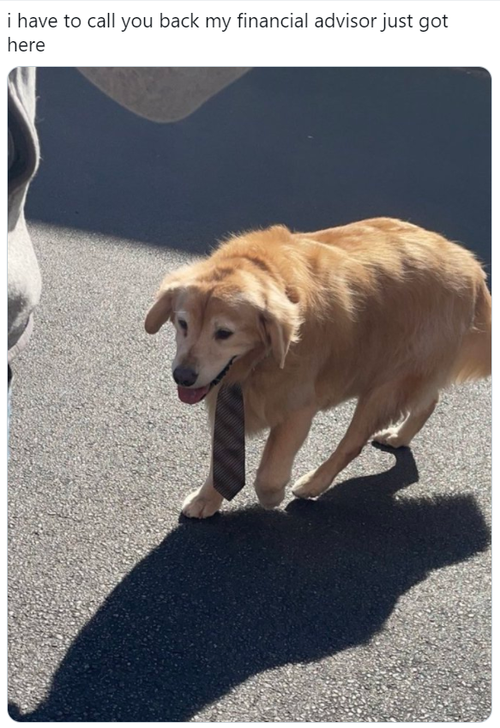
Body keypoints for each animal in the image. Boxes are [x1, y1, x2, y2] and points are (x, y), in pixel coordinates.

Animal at [145, 216, 492, 516]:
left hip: (388, 383)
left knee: (353, 443)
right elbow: (222, 456)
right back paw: (399, 436)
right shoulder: (226, 397)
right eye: (183, 323)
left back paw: (314, 483)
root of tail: (472, 265)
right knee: (429, 399)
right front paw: (207, 499)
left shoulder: (298, 409)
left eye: (224, 333)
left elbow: (268, 474)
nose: (182, 376)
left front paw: (270, 496)